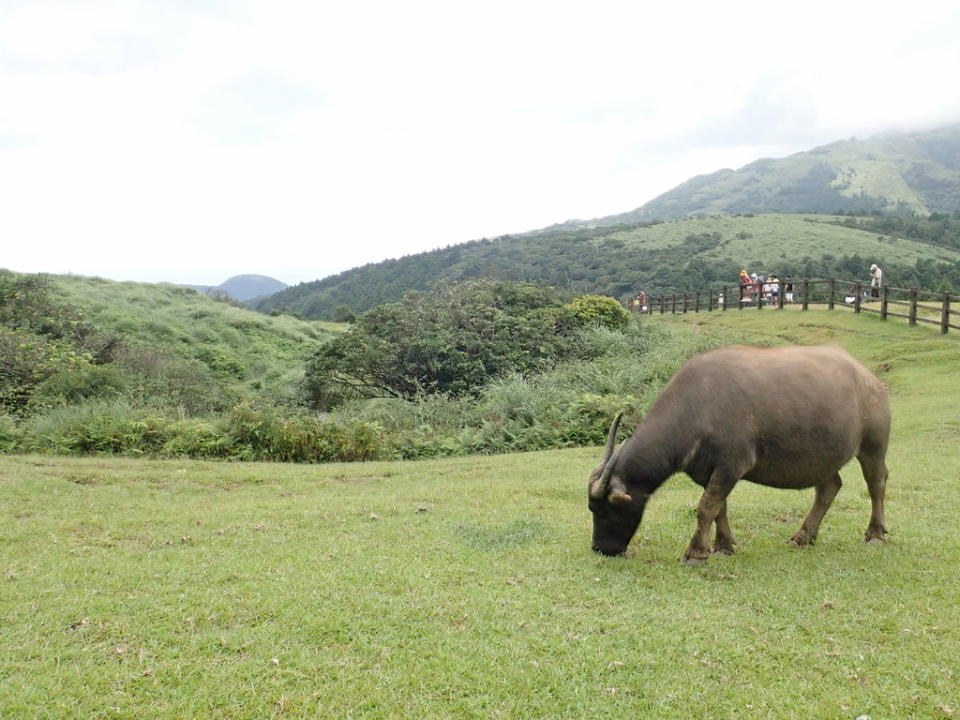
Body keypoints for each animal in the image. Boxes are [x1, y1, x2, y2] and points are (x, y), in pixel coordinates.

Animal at [584, 346, 892, 564]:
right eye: (592, 509)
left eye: (605, 510)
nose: (599, 548)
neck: (697, 408)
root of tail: (868, 378)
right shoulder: (709, 472)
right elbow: (719, 508)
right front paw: (723, 545)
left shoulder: (731, 465)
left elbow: (705, 507)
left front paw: (695, 553)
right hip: (823, 457)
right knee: (829, 488)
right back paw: (804, 536)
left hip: (873, 445)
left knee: (876, 482)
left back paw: (875, 533)